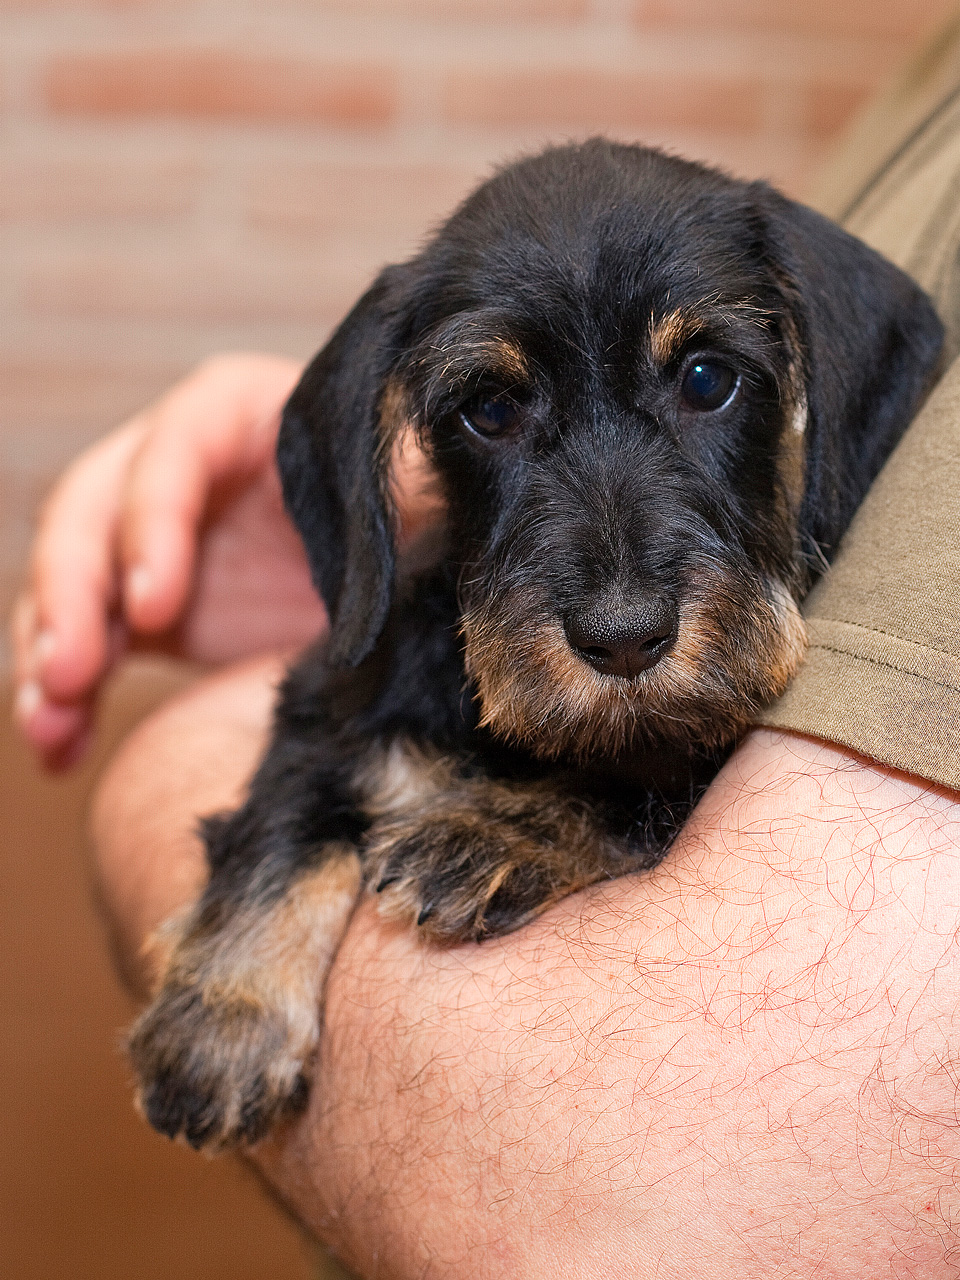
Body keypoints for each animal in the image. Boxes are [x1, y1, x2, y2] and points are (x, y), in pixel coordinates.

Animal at [129, 140, 947, 1152]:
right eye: (489, 408)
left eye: (708, 379)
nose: (624, 638)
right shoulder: (327, 700)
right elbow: (289, 817)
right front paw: (223, 1015)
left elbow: (643, 786)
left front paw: (501, 827)